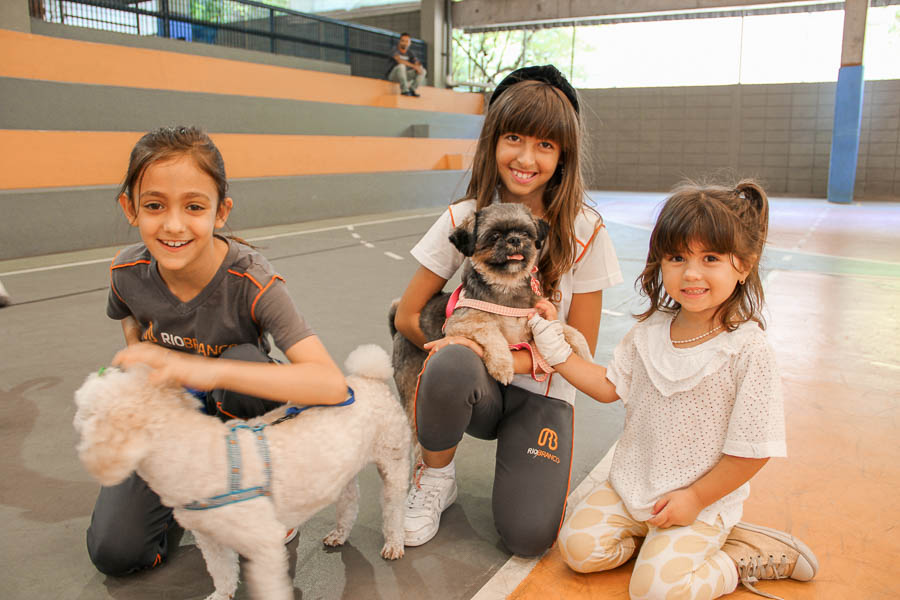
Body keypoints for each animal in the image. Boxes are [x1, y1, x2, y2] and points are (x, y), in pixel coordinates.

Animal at [74, 345, 410, 600]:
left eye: (85, 409)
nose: (75, 421)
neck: (194, 453)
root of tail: (369, 378)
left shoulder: (263, 546)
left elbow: (270, 589)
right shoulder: (210, 539)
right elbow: (222, 573)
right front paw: (220, 596)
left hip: (393, 460)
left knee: (393, 509)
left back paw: (394, 542)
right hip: (343, 469)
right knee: (350, 501)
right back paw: (340, 533)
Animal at [389, 202, 592, 425]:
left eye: (525, 233)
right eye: (494, 236)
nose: (515, 239)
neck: (506, 289)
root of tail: (396, 329)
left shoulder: (536, 320)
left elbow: (567, 329)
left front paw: (584, 352)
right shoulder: (461, 323)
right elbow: (492, 333)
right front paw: (502, 365)